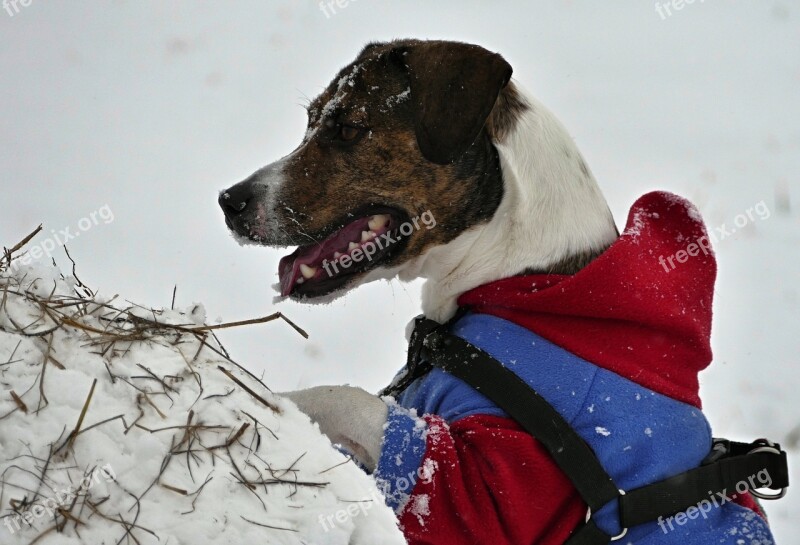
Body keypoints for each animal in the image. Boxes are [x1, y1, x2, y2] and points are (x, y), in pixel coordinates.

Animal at [219, 40, 776, 544]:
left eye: (350, 128)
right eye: (311, 121)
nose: (229, 200)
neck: (515, 275)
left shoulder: (496, 492)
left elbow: (345, 398)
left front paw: (266, 400)